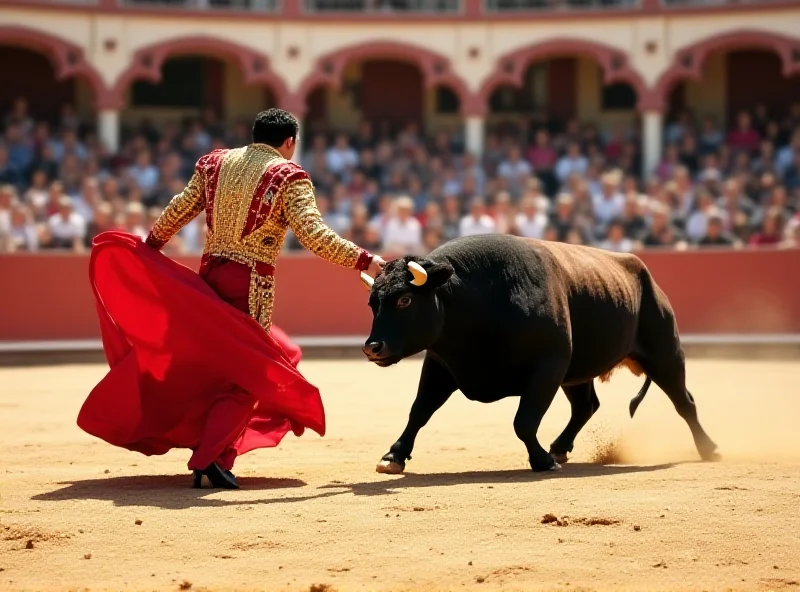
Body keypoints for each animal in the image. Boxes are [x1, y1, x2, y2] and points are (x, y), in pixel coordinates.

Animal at [360, 234, 720, 474]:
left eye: (405, 299)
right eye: (372, 303)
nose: (372, 347)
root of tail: (642, 270)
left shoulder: (548, 366)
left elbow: (524, 421)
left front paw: (541, 460)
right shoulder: (440, 365)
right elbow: (419, 411)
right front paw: (393, 456)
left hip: (665, 354)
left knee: (684, 402)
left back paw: (709, 448)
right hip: (579, 371)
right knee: (586, 406)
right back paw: (560, 448)